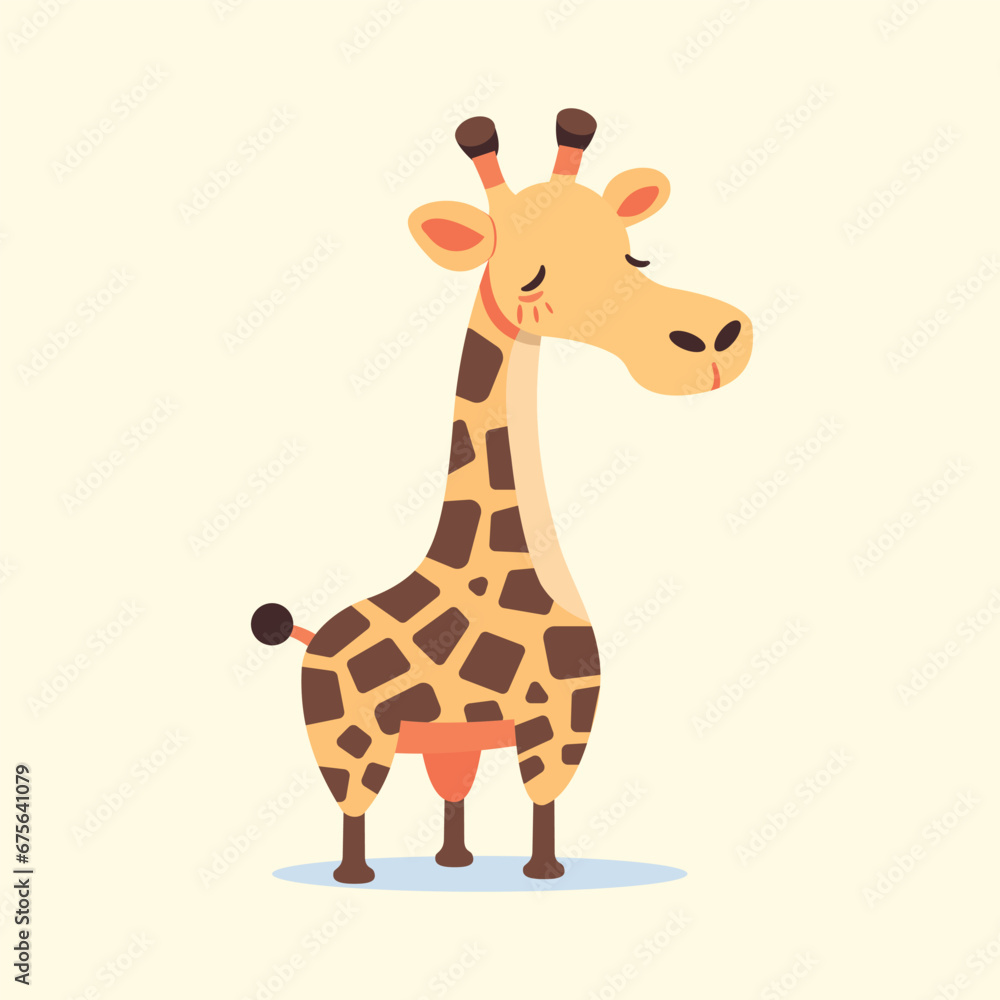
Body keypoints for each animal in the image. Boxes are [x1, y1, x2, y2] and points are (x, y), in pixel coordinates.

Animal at [251, 109, 753, 883]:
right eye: (531, 278)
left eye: (634, 257)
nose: (716, 341)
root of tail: (309, 634)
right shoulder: (556, 717)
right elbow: (544, 797)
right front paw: (544, 876)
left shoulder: (558, 717)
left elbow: (539, 803)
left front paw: (538, 873)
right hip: (346, 738)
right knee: (352, 806)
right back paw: (357, 876)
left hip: (440, 740)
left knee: (447, 797)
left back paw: (453, 863)